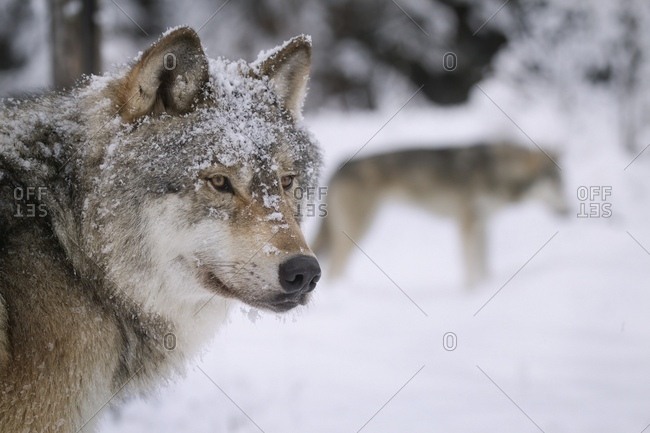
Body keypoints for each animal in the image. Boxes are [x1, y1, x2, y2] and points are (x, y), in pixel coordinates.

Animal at [313, 142, 567, 287]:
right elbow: (470, 266)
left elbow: (484, 264)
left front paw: (486, 286)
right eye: (554, 184)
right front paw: (471, 292)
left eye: (562, 184)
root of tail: (339, 167)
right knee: (334, 269)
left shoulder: (482, 224)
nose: (568, 210)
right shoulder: (466, 224)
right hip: (358, 230)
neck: (497, 170)